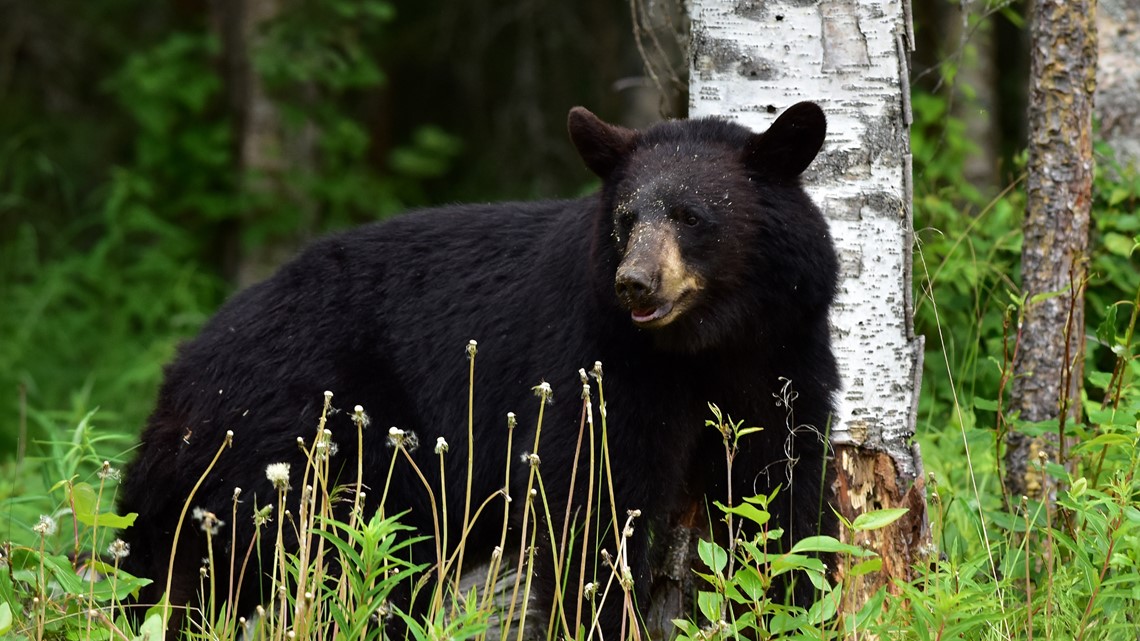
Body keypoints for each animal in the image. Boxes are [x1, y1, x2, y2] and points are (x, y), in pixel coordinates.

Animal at [120, 102, 839, 634]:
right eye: (626, 217)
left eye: (691, 216)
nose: (635, 282)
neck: (703, 345)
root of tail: (180, 378)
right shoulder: (601, 362)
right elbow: (597, 503)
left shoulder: (784, 354)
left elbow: (783, 493)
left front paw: (793, 606)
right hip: (299, 447)